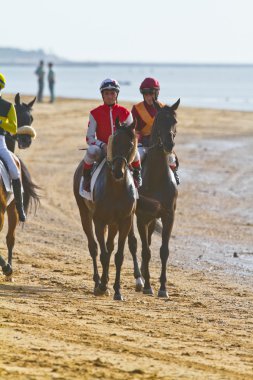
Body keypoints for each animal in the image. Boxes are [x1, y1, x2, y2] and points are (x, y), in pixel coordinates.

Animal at [73, 119, 140, 300]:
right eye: (114, 141)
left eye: (130, 144)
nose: (118, 172)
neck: (116, 189)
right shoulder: (99, 220)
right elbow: (102, 254)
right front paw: (102, 286)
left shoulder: (124, 221)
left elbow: (118, 256)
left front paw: (117, 290)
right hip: (84, 213)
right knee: (94, 247)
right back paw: (98, 281)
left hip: (114, 223)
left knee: (109, 247)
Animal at [128, 99, 180, 298]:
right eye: (159, 120)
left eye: (174, 121)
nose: (169, 144)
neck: (157, 177)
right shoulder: (142, 216)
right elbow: (145, 251)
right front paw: (148, 285)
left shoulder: (168, 216)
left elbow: (163, 251)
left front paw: (163, 288)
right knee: (134, 243)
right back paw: (140, 279)